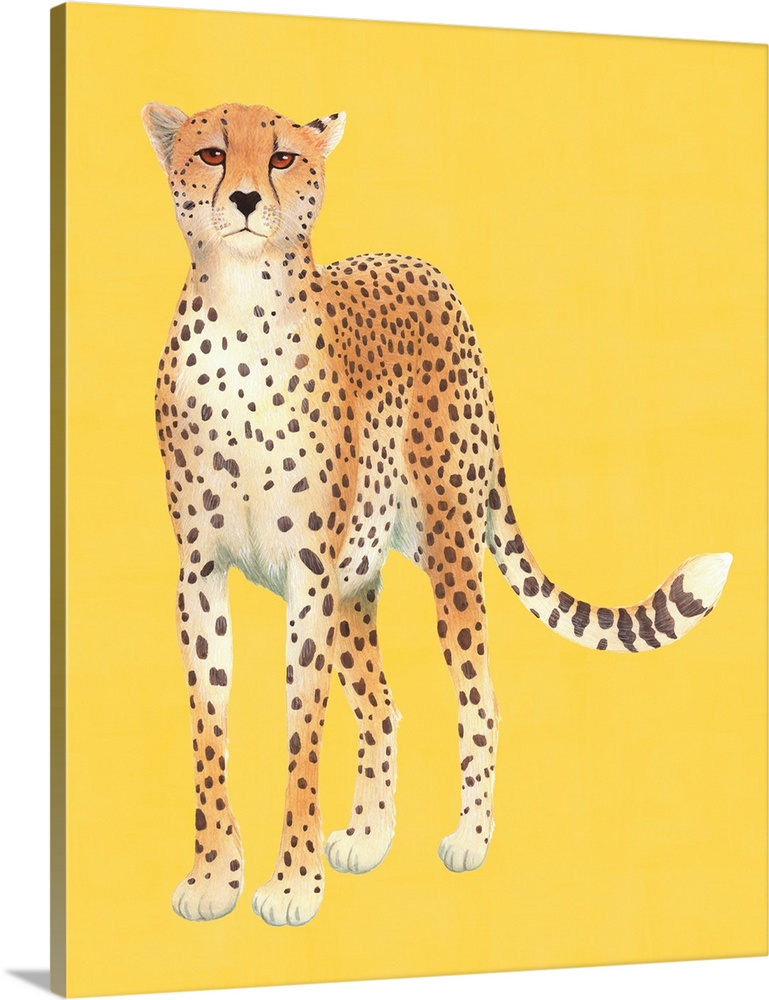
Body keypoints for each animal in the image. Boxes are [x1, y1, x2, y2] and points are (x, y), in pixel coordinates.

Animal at [142, 101, 732, 927]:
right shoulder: (202, 573)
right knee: (381, 706)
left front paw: (291, 885)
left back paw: (470, 839)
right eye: (212, 153)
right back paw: (367, 837)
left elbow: (301, 734)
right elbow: (209, 727)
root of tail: (422, 267)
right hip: (355, 584)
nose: (249, 200)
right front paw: (213, 878)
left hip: (448, 548)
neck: (240, 314)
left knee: (480, 698)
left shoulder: (307, 576)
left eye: (284, 156)